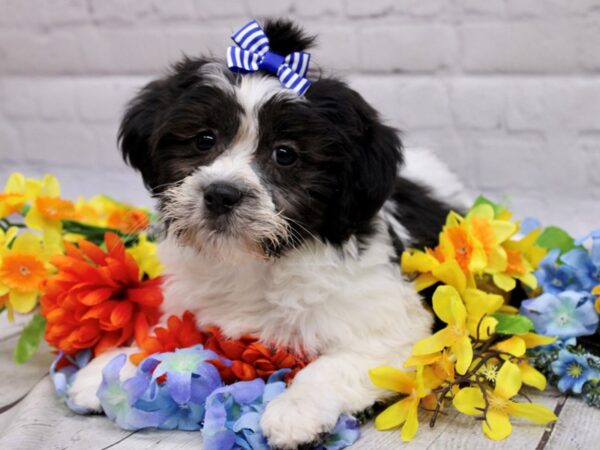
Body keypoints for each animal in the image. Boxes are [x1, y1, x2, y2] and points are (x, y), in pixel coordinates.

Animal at [70, 18, 468, 450]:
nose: (221, 193)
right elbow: (164, 332)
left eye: (285, 154)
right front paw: (113, 366)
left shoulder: (396, 326)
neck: (254, 261)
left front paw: (295, 411)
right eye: (204, 139)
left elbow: (337, 363)